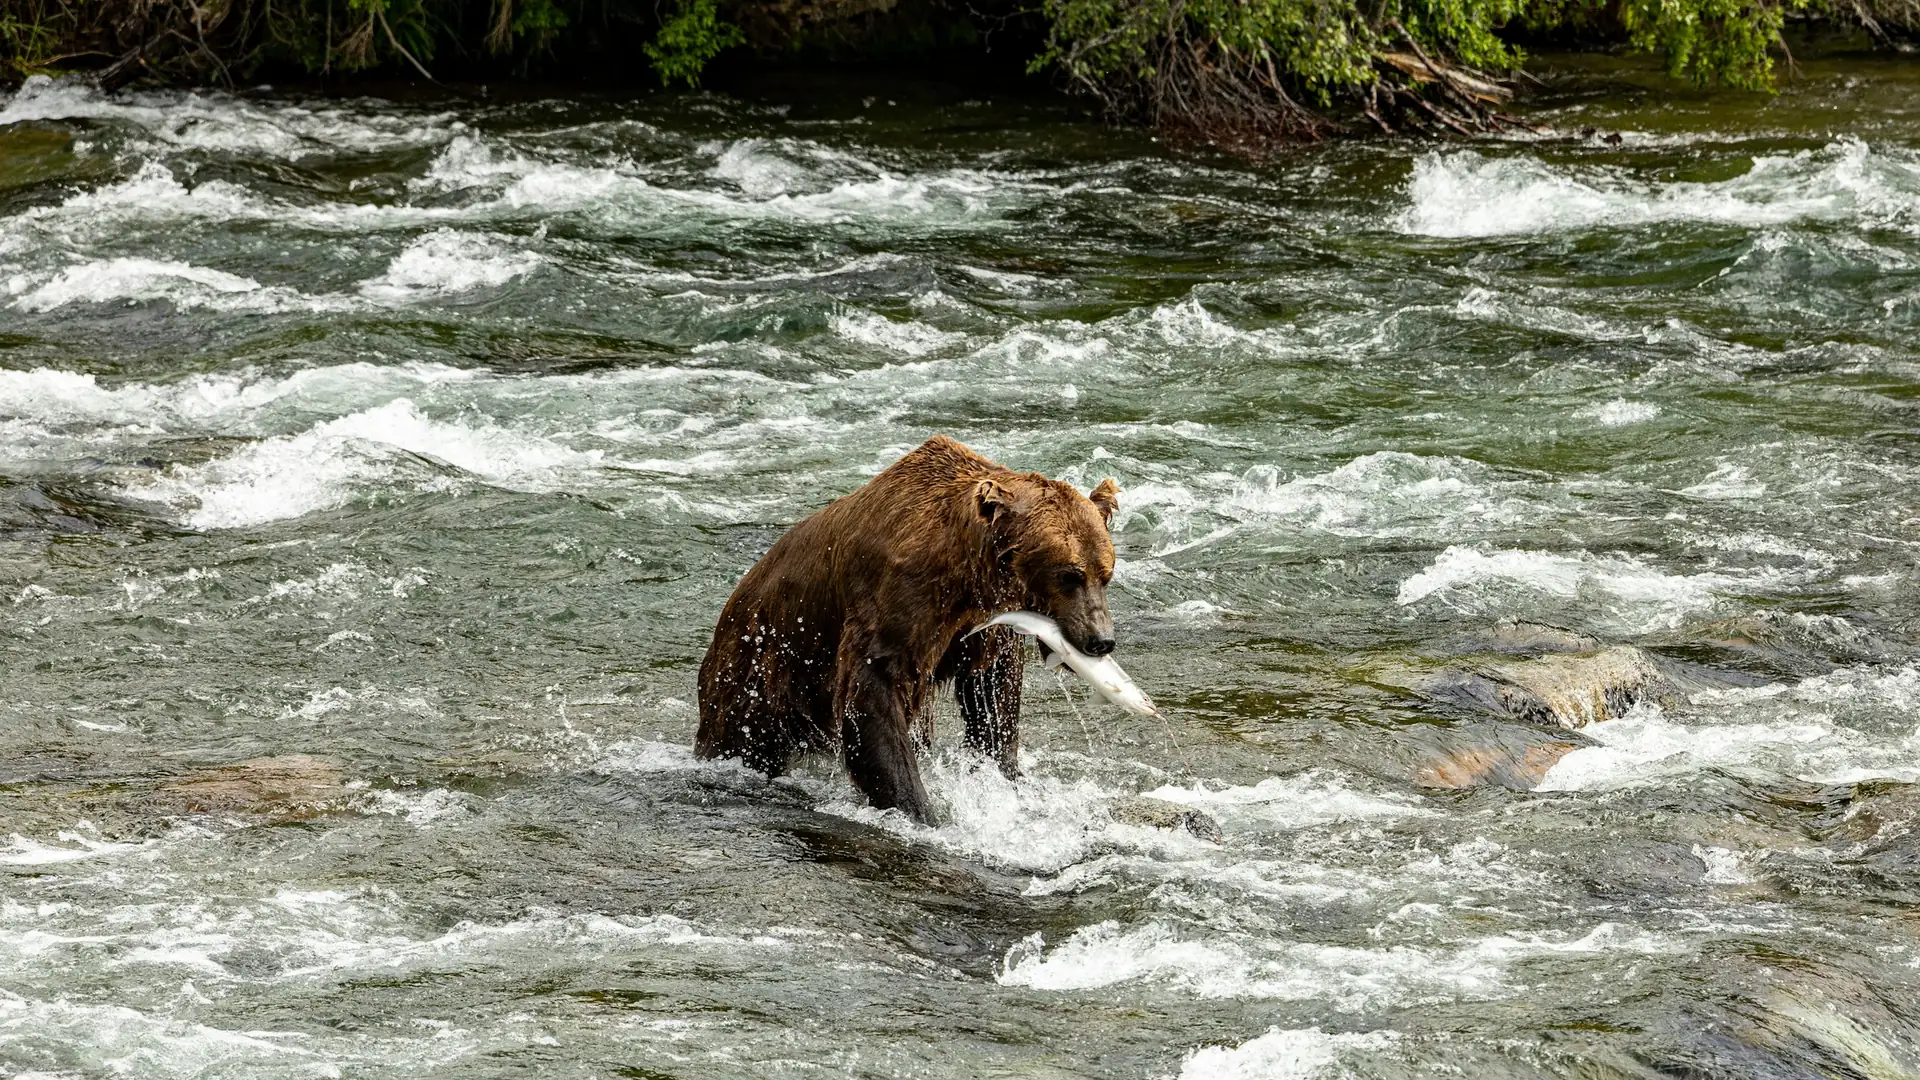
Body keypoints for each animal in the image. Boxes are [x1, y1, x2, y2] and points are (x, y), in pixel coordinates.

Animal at [695, 435, 1121, 823]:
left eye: (1105, 574)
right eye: (1069, 575)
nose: (1100, 640)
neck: (967, 569)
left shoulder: (983, 624)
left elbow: (991, 695)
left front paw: (1002, 774)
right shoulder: (901, 598)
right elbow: (874, 690)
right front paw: (918, 808)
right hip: (760, 670)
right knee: (737, 735)